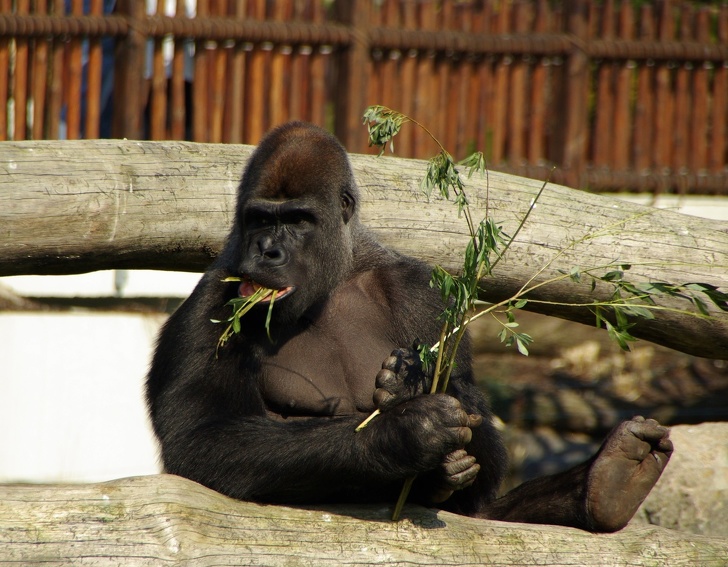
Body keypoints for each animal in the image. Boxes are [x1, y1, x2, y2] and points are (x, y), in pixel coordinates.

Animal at [145, 121, 672, 532]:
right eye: (258, 219)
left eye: (296, 220)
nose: (266, 252)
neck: (336, 276)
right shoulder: (210, 303)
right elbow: (202, 438)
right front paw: (402, 432)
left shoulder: (420, 291)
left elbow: (477, 434)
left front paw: (412, 387)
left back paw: (609, 481)